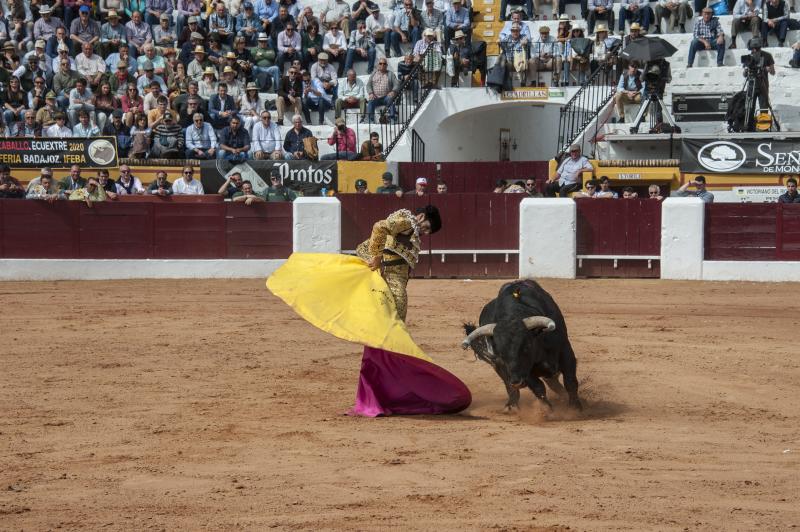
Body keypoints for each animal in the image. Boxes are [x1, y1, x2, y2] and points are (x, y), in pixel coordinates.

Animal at [462, 278, 580, 412]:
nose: (516, 381)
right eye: (501, 353)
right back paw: (511, 406)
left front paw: (575, 408)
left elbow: (570, 381)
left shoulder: (566, 351)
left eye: (526, 347)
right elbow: (539, 388)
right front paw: (548, 410)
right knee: (511, 387)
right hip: (500, 368)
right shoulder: (523, 372)